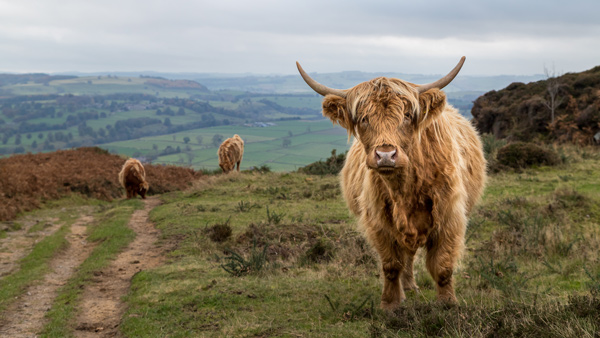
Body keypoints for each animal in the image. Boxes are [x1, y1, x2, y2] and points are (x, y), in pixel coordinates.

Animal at [296, 57, 488, 308]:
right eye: (364, 119)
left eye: (406, 116)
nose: (386, 155)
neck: (406, 189)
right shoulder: (378, 221)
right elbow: (391, 265)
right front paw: (390, 304)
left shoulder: (450, 217)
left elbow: (443, 266)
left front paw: (447, 304)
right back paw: (407, 287)